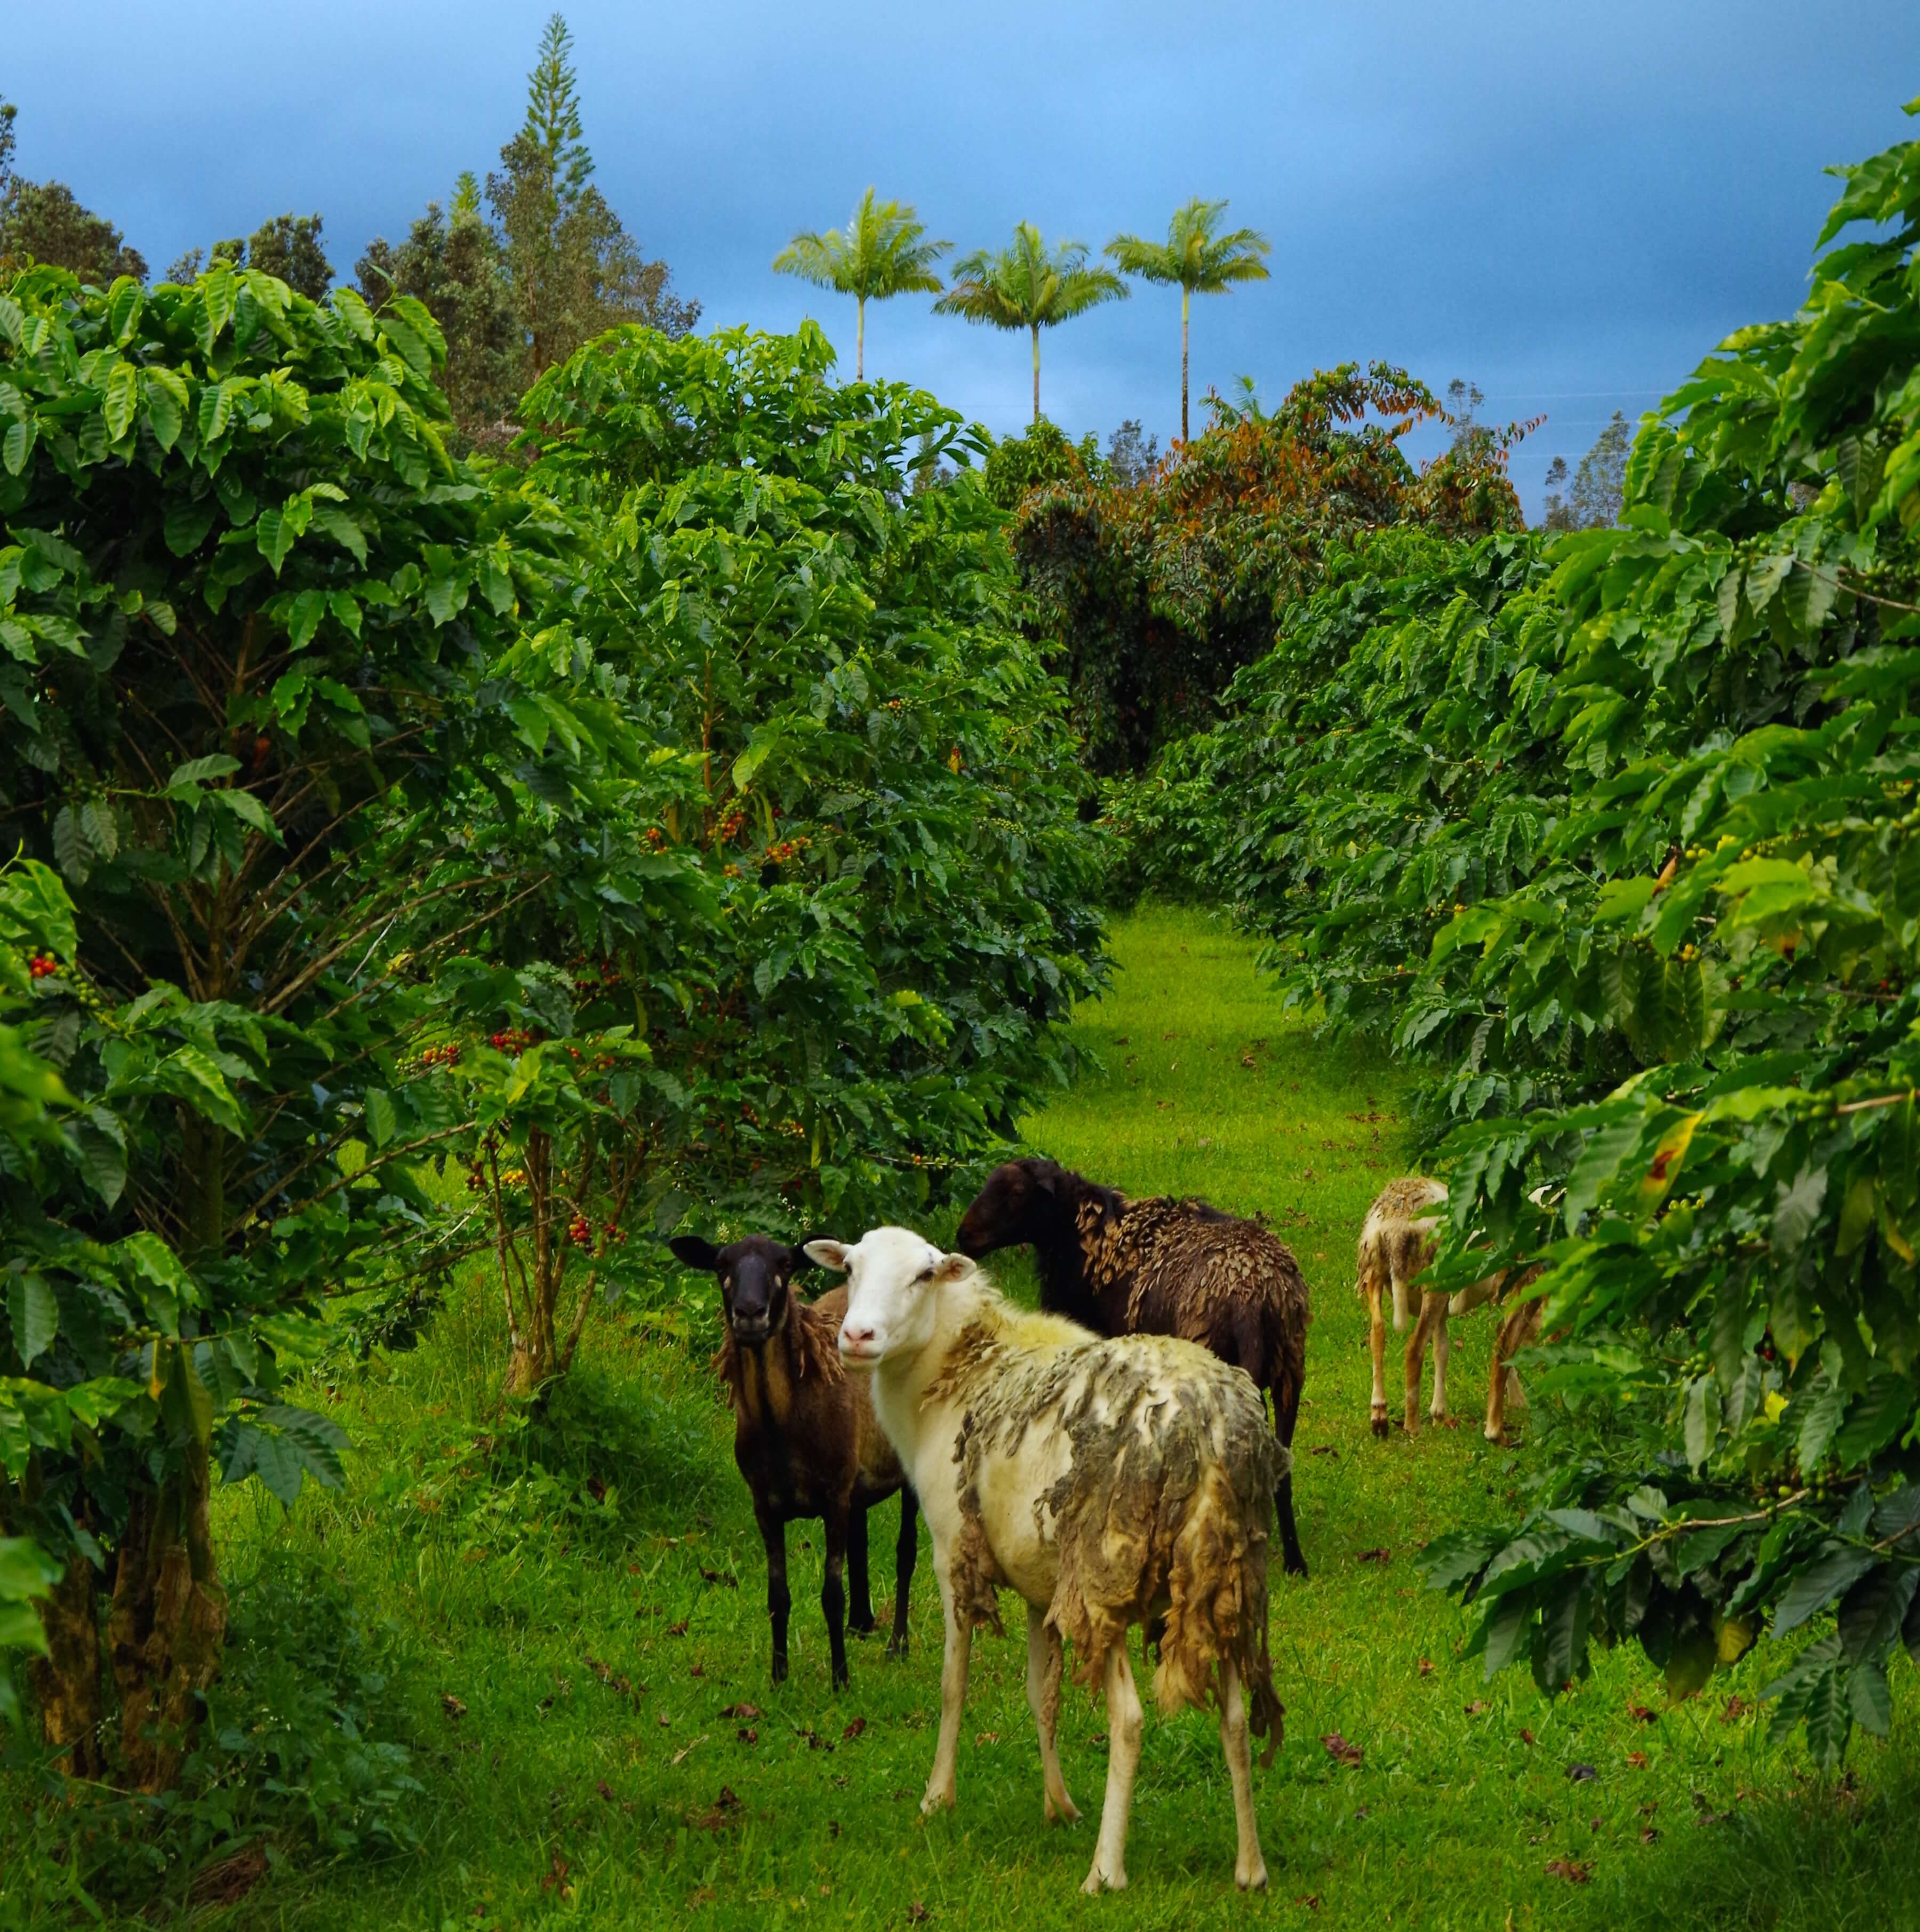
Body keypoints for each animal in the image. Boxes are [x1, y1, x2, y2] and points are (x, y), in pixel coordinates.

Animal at [668, 1228, 915, 1684]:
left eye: (784, 1265)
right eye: (721, 1266)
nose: (750, 1313)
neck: (782, 1427)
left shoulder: (833, 1496)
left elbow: (831, 1594)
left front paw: (841, 1680)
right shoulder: (765, 1504)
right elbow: (776, 1595)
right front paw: (779, 1677)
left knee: (906, 1552)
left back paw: (897, 1644)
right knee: (861, 1537)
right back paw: (861, 1623)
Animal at [799, 1228, 1282, 1893]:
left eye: (924, 1276)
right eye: (849, 1268)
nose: (857, 1337)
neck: (956, 1366)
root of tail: (1201, 1428)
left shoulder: (953, 1553)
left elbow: (953, 1684)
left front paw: (938, 1797)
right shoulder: (1039, 1583)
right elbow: (1041, 1693)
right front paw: (1059, 1805)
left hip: (1108, 1574)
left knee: (1129, 1719)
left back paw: (1105, 1871)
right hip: (1225, 1580)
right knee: (1234, 1718)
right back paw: (1250, 1867)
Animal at [954, 1151, 1313, 1576]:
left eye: (1016, 1193)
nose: (963, 1237)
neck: (1091, 1241)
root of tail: (1254, 1298)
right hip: (1290, 1372)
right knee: (1282, 1468)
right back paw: (1294, 1561)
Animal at [1344, 1167, 1545, 1445]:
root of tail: (1395, 1225)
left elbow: (1442, 1350)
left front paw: (1439, 1414)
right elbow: (1504, 1343)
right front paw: (1516, 1402)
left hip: (1374, 1273)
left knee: (1377, 1335)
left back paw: (1380, 1416)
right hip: (1432, 1280)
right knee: (1414, 1348)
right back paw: (1412, 1425)